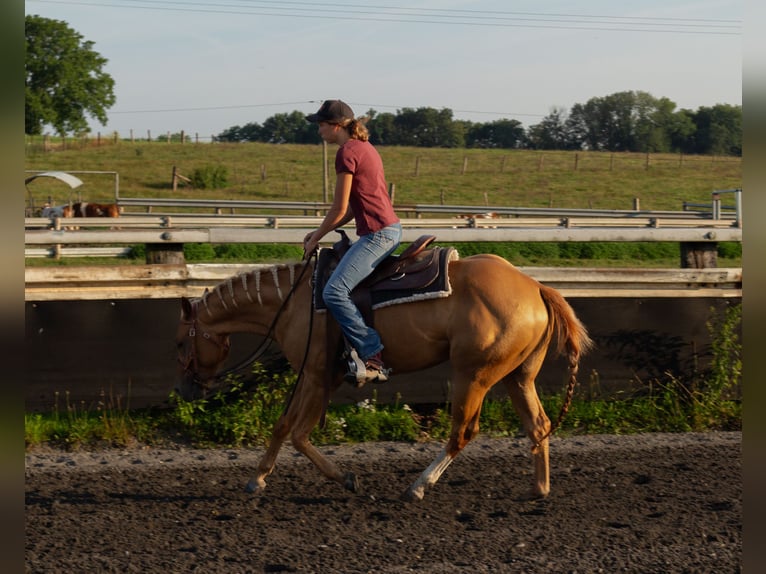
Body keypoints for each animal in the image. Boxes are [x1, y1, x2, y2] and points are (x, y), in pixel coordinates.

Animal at [176, 244, 592, 504]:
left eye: (180, 344)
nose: (185, 390)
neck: (294, 302)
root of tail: (536, 287)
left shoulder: (317, 377)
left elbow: (298, 435)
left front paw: (345, 478)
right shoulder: (313, 377)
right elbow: (283, 427)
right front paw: (257, 478)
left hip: (474, 375)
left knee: (463, 432)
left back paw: (417, 487)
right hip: (517, 376)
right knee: (538, 426)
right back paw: (538, 490)